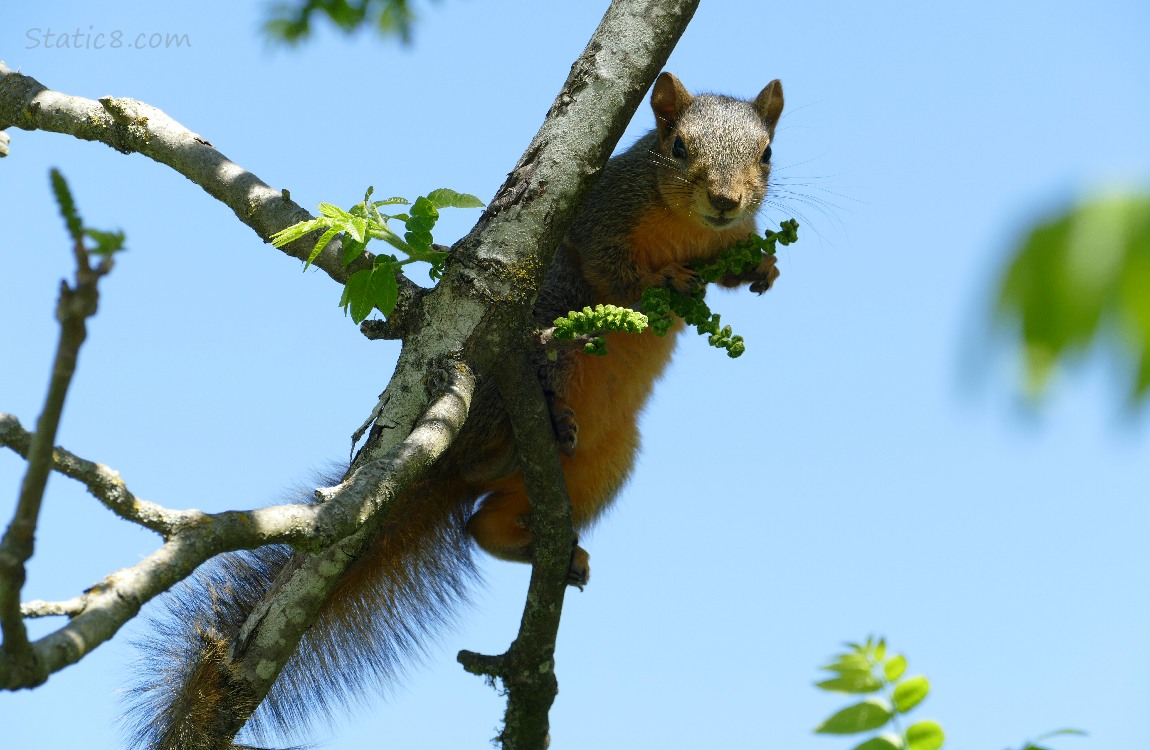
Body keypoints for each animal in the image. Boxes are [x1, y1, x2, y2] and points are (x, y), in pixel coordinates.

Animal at [123, 72, 785, 749]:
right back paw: (536, 427)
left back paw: (546, 545)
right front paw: (669, 281)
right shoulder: (601, 216)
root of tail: (451, 456)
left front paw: (761, 266)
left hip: (608, 461)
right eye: (677, 146)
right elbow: (614, 270)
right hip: (543, 329)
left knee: (480, 522)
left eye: (766, 154)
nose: (727, 201)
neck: (690, 227)